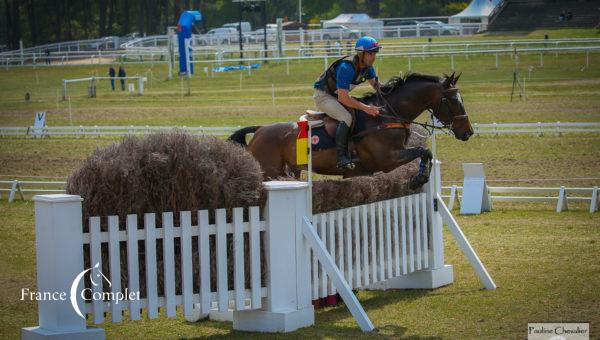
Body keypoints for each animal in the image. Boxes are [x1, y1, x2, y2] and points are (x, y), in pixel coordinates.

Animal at [230, 72, 474, 189]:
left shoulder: (363, 170)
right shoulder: (387, 159)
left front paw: (419, 177)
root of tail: (260, 130)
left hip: (291, 171)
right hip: (269, 171)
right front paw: (418, 179)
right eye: (453, 101)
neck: (387, 114)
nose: (468, 132)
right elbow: (424, 152)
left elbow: (426, 154)